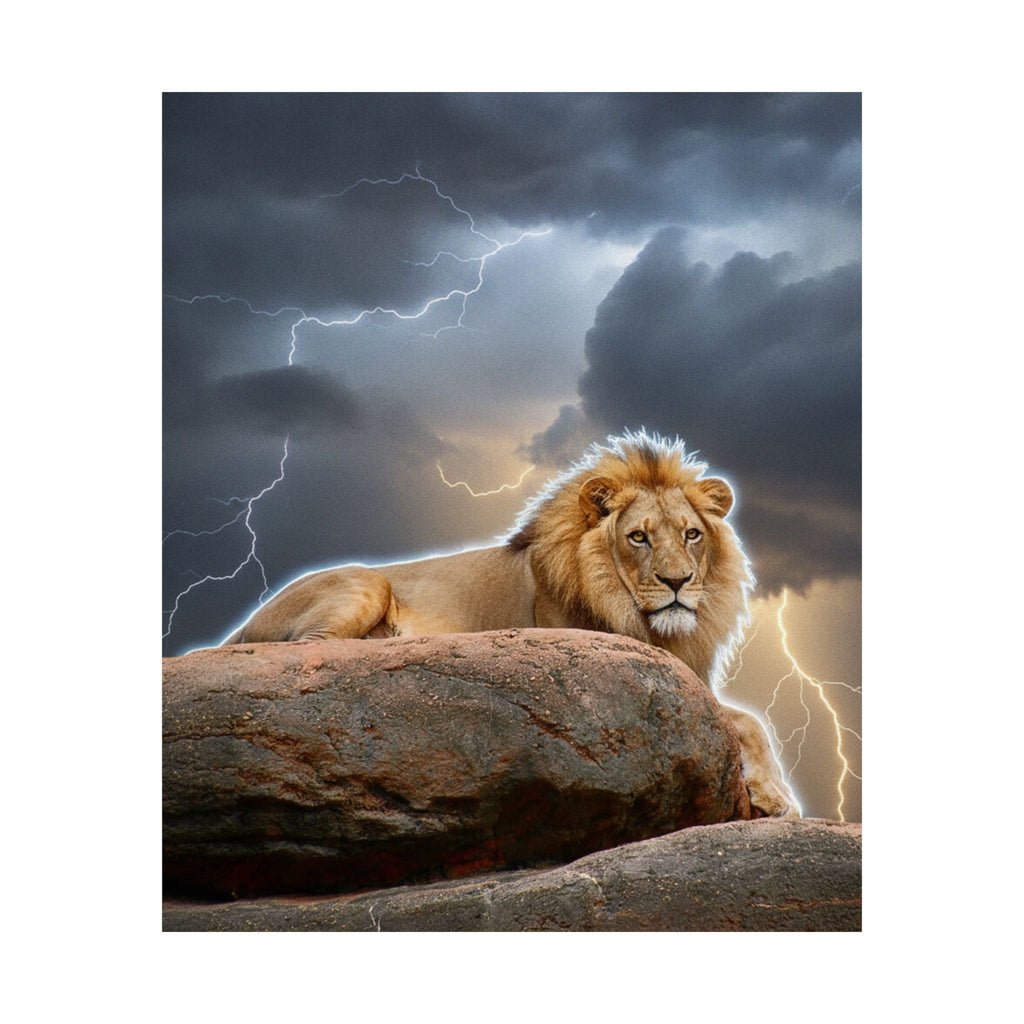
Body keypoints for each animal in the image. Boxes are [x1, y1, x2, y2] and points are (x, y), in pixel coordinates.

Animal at [223, 430, 800, 817]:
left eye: (691, 534)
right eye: (638, 537)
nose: (678, 582)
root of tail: (245, 621)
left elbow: (752, 721)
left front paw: (775, 796)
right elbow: (742, 719)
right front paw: (779, 799)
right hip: (366, 584)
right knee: (312, 649)